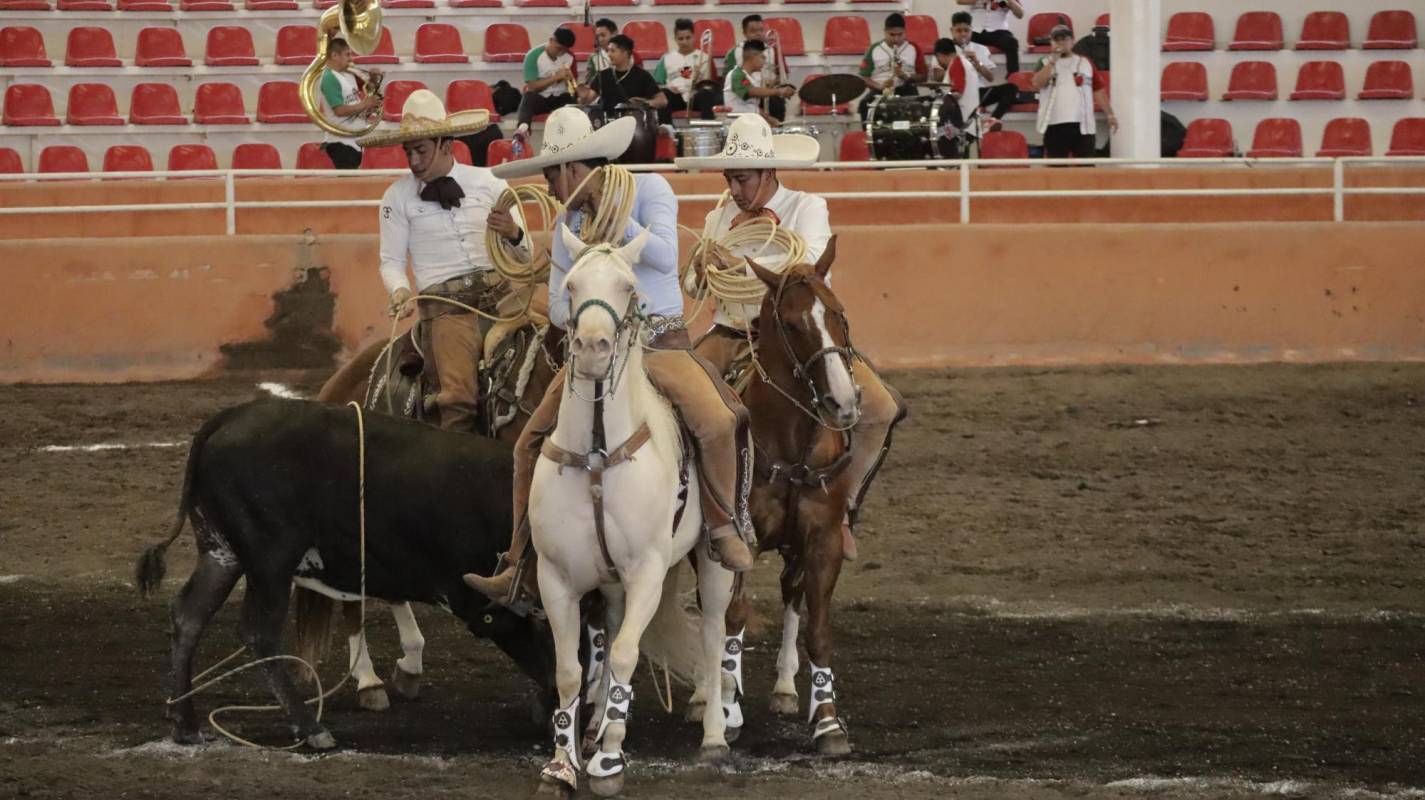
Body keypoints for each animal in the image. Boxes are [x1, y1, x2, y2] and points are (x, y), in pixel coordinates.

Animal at [134, 396, 555, 747]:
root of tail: (231, 416)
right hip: (270, 558)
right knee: (257, 631)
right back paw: (310, 727)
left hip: (220, 551)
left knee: (189, 615)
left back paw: (186, 722)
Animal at [532, 226, 735, 798]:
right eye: (572, 286)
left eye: (627, 285)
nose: (593, 347)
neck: (598, 455)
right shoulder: (555, 577)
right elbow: (569, 669)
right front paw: (562, 764)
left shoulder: (647, 571)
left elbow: (624, 653)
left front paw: (608, 762)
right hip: (612, 580)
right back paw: (597, 723)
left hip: (714, 562)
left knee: (712, 633)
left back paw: (714, 737)